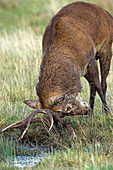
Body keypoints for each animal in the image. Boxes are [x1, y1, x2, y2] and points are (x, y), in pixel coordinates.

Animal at [0, 1, 113, 139]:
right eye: (66, 112)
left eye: (68, 108)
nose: (86, 111)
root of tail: (107, 13)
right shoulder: (83, 67)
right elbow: (93, 85)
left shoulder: (90, 58)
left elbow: (99, 86)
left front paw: (108, 113)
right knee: (92, 85)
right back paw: (91, 114)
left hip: (106, 48)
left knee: (103, 82)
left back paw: (103, 111)